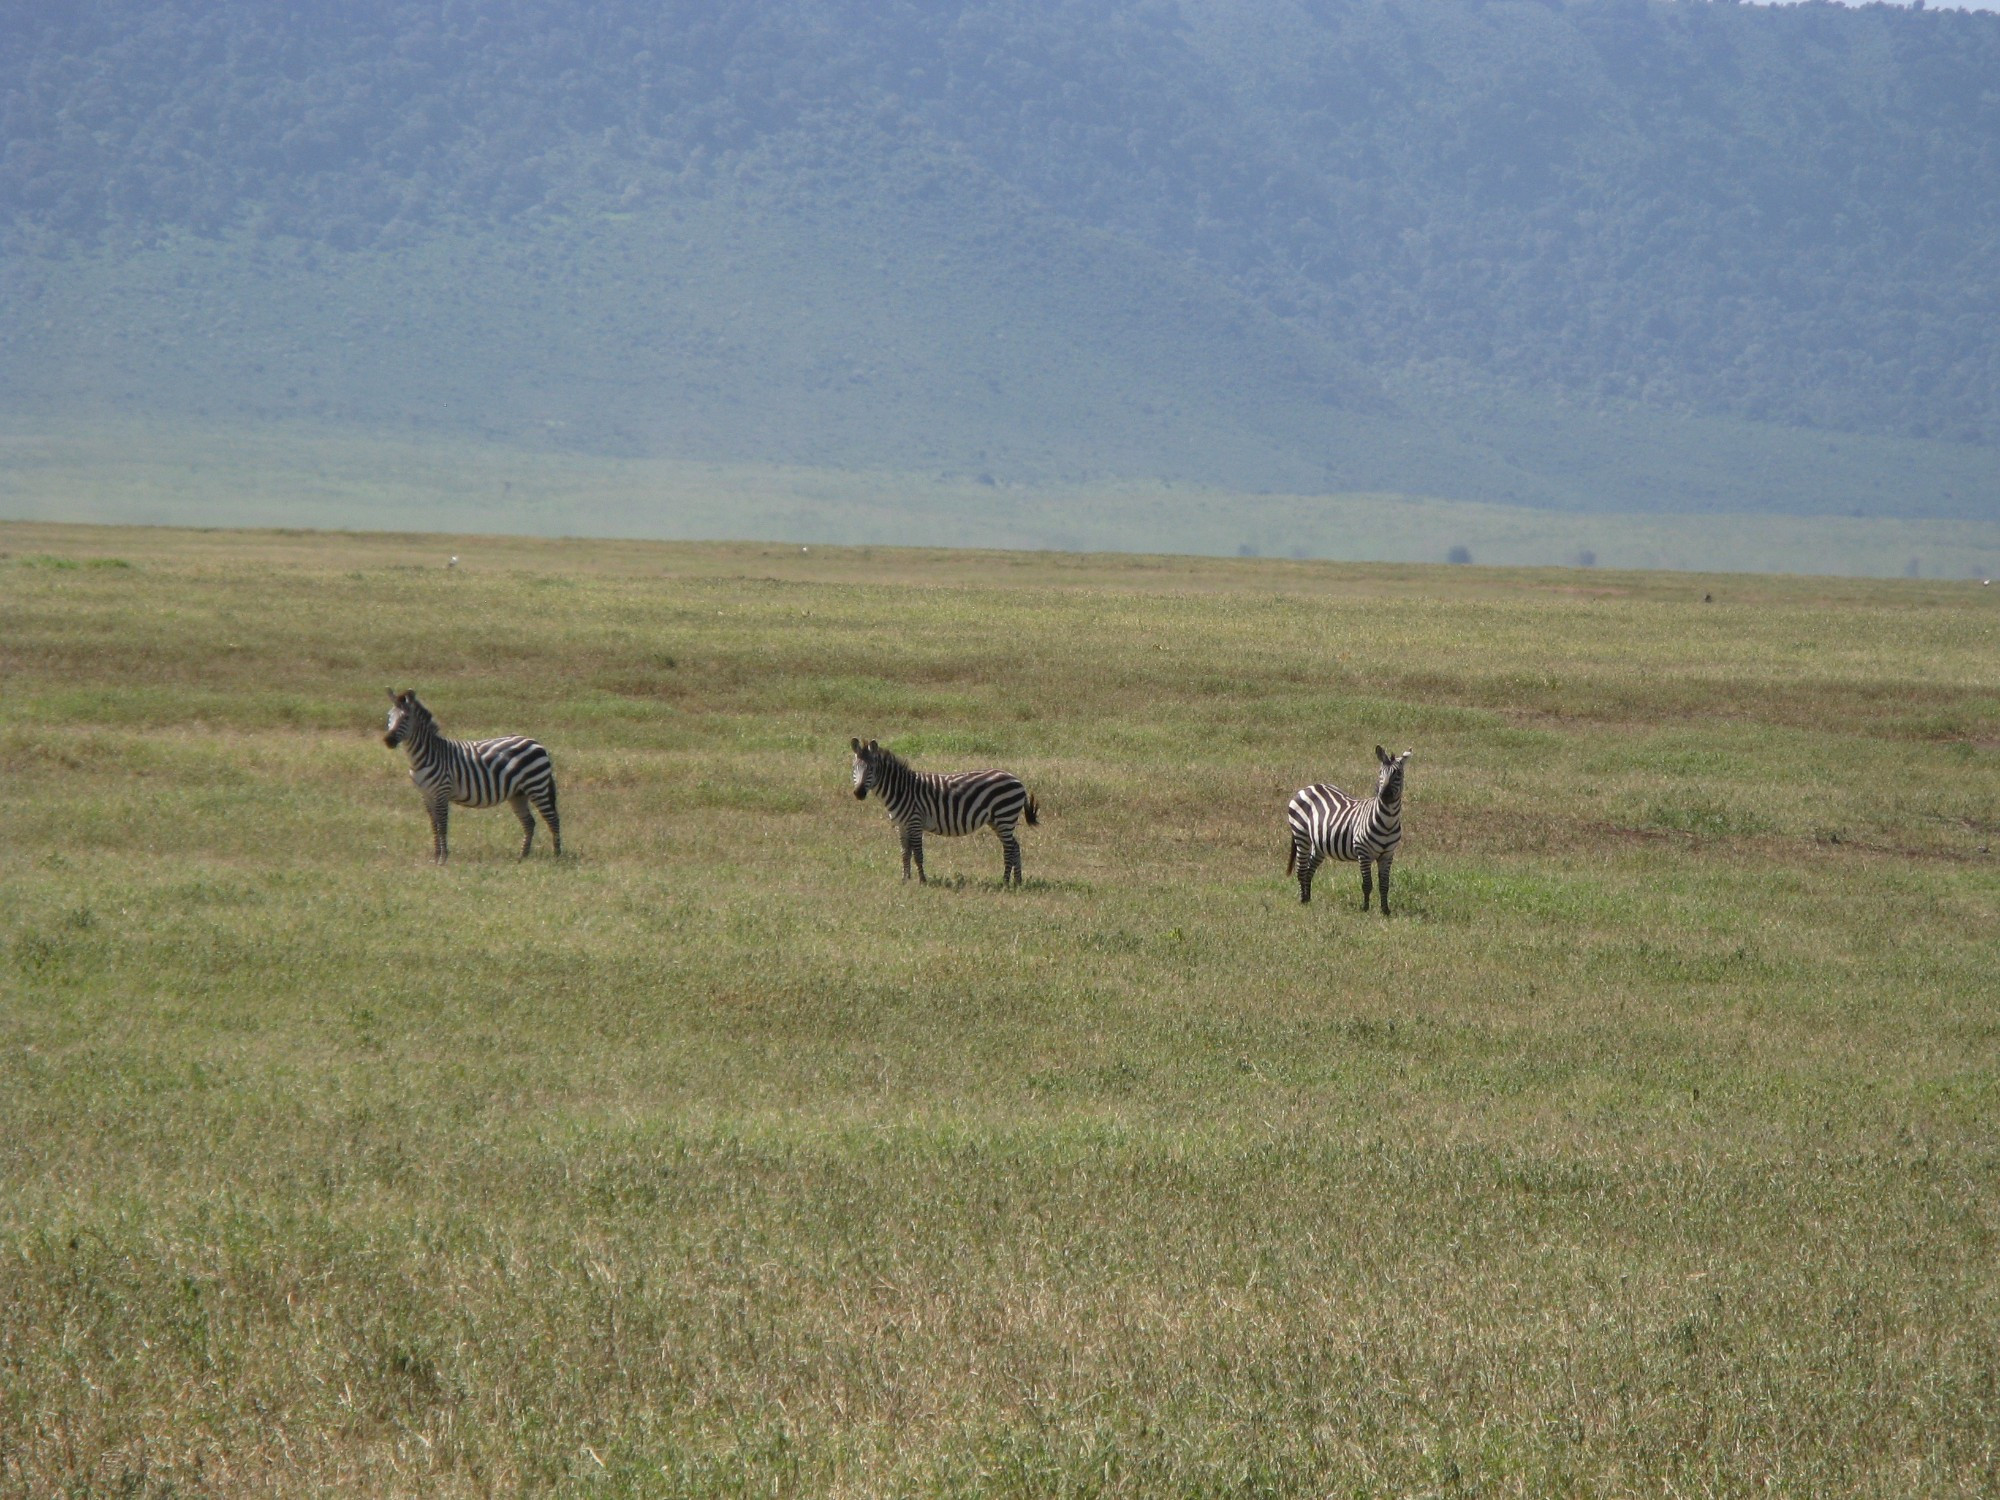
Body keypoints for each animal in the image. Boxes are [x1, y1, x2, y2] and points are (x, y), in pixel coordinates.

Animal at [382, 692, 560, 864]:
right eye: (389, 716)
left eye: (406, 717)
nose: (388, 740)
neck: (424, 757)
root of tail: (535, 742)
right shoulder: (426, 795)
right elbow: (434, 825)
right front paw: (436, 856)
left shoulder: (441, 792)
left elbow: (442, 825)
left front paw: (443, 858)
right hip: (518, 794)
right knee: (529, 822)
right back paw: (522, 857)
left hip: (537, 786)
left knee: (552, 819)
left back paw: (557, 855)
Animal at [848, 744, 1048, 888]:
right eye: (854, 768)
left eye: (871, 768)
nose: (858, 793)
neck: (901, 790)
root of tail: (1016, 779)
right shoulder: (902, 825)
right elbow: (905, 853)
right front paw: (905, 879)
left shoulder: (915, 821)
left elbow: (918, 853)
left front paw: (922, 880)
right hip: (997, 820)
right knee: (1015, 846)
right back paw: (1017, 881)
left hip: (1004, 816)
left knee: (1009, 849)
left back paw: (1005, 882)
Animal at [1288, 748, 1416, 916]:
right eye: (1380, 772)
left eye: (1398, 774)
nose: (1384, 795)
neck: (1388, 822)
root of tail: (1309, 787)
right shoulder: (1363, 851)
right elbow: (1367, 884)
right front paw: (1365, 908)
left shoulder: (1387, 855)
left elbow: (1384, 884)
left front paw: (1385, 910)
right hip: (1301, 835)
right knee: (1301, 869)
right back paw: (1302, 900)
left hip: (1319, 844)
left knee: (1310, 869)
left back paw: (1308, 899)